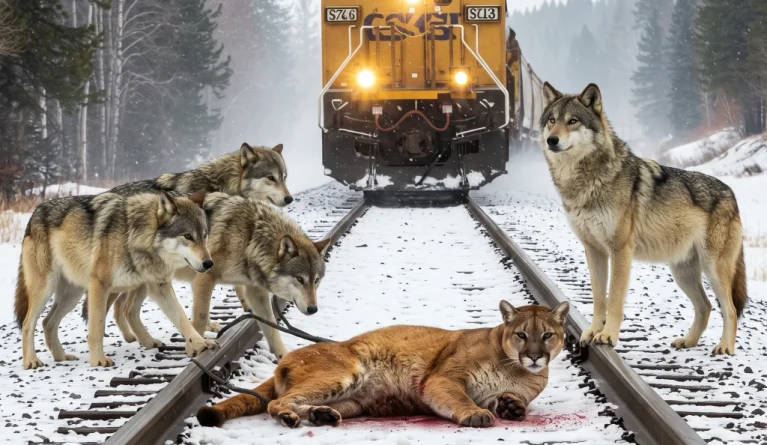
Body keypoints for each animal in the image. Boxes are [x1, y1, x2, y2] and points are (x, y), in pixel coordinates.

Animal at [15, 191, 217, 369]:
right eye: (188, 236)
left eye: (204, 235)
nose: (209, 263)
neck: (136, 236)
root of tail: (34, 213)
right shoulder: (99, 285)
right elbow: (97, 326)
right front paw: (98, 360)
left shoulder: (159, 286)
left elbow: (182, 318)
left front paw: (201, 343)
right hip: (46, 290)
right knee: (28, 324)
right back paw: (31, 361)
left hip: (71, 296)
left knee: (47, 322)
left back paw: (61, 357)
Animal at [111, 193, 330, 359]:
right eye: (300, 279)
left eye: (316, 281)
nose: (313, 309)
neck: (251, 236)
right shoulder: (204, 279)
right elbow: (199, 318)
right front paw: (196, 349)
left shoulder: (255, 292)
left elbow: (272, 327)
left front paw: (284, 357)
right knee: (123, 307)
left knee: (126, 309)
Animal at [196, 301, 569, 429]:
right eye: (521, 334)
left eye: (547, 335)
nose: (535, 356)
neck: (513, 367)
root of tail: (286, 357)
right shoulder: (444, 379)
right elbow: (461, 399)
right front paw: (475, 415)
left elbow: (505, 399)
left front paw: (512, 407)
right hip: (343, 372)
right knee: (277, 401)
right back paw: (290, 417)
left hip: (353, 401)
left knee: (303, 402)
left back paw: (321, 415)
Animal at [538, 82, 748, 355]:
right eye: (552, 120)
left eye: (572, 121)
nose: (552, 139)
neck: (586, 181)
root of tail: (731, 193)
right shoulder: (593, 251)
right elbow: (599, 298)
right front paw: (592, 331)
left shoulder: (620, 251)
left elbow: (614, 299)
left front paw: (607, 336)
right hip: (682, 272)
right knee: (706, 307)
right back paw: (688, 341)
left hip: (713, 269)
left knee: (730, 308)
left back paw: (725, 347)